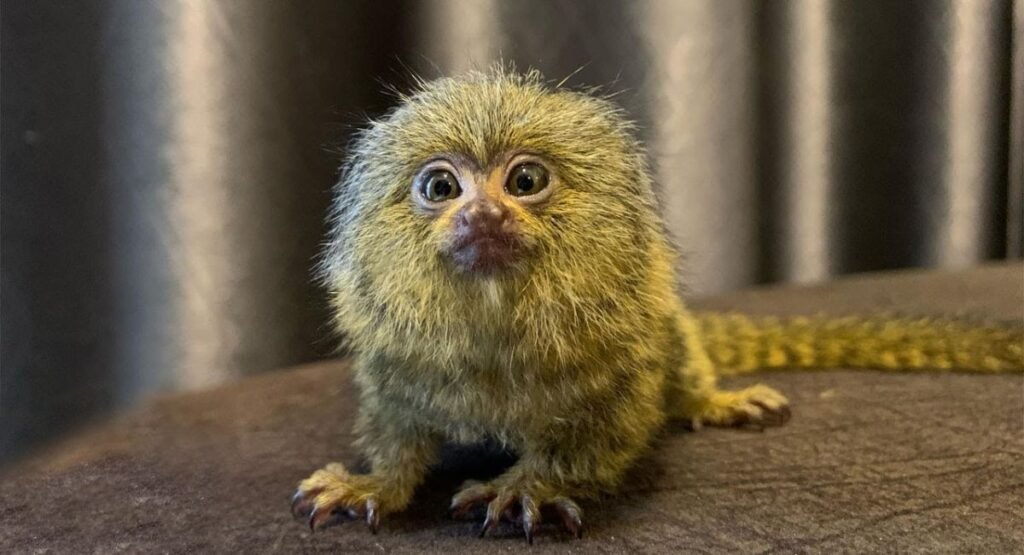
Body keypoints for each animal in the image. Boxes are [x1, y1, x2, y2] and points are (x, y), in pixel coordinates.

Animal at [289, 66, 1024, 543]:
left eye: (524, 180)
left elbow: (606, 434)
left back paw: (710, 399)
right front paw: (377, 483)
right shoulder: (398, 358)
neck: (496, 321)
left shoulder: (623, 346)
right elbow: (397, 435)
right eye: (442, 187)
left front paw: (527, 485)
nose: (483, 214)